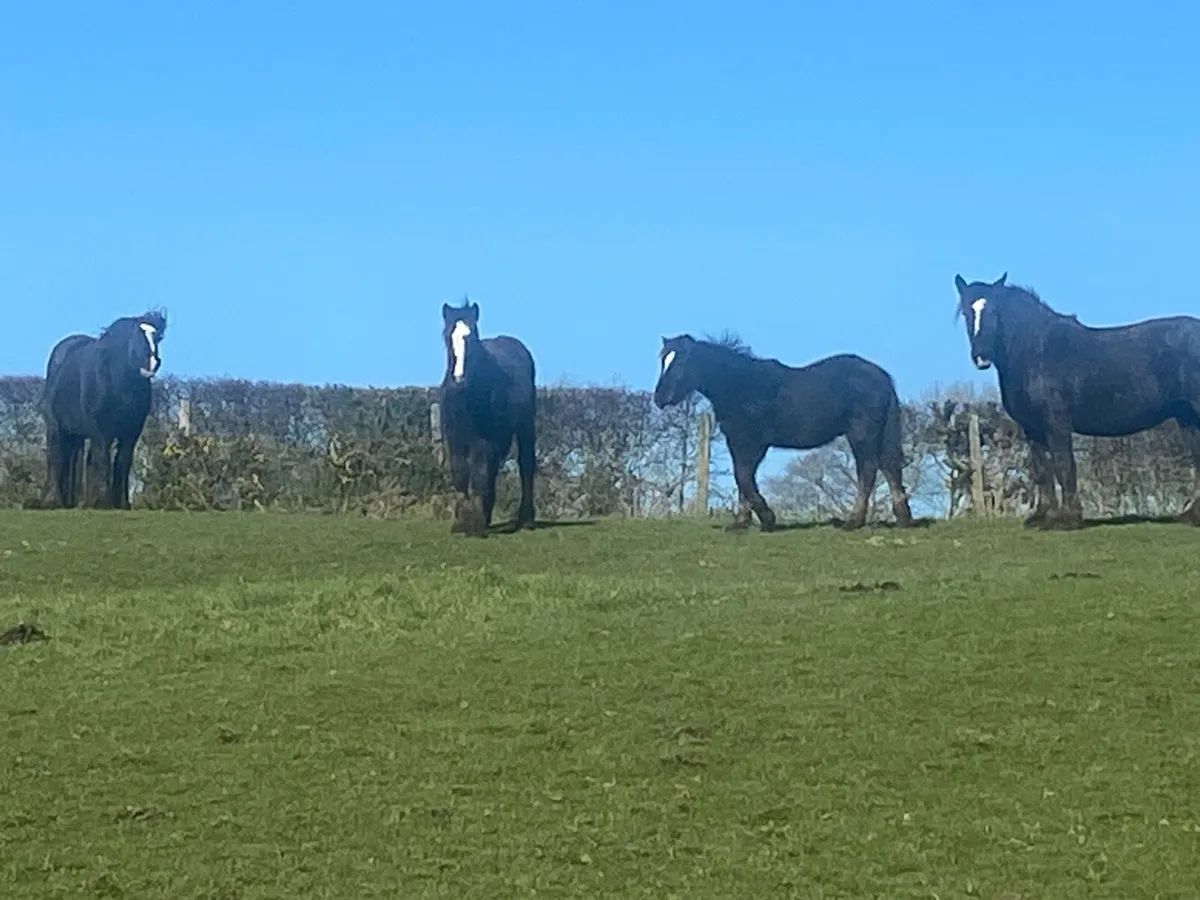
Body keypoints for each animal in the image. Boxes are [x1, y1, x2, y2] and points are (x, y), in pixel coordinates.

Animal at [39, 310, 166, 510]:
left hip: (77, 434)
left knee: (77, 461)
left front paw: (122, 503)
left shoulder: (131, 432)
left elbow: (122, 462)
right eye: (137, 335)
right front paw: (104, 502)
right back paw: (55, 501)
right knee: (57, 458)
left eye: (158, 337)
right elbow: (103, 460)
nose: (152, 363)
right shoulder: (101, 431)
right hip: (56, 428)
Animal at [439, 300, 536, 536]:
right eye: (447, 336)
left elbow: (479, 475)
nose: (459, 379)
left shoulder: (483, 442)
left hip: (525, 426)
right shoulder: (454, 441)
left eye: (472, 336)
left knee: (526, 466)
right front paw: (462, 523)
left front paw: (474, 525)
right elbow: (461, 476)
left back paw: (526, 519)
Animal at [653, 334, 914, 531]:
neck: (740, 385)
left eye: (681, 362)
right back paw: (902, 517)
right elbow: (743, 478)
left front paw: (767, 518)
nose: (660, 399)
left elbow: (743, 477)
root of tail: (882, 377)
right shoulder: (737, 442)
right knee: (889, 468)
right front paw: (741, 522)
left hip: (861, 434)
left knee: (868, 470)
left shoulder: (751, 443)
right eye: (663, 360)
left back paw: (854, 521)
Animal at [955, 272, 1200, 529]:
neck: (1035, 353)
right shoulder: (1032, 429)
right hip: (1186, 418)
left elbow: (1064, 465)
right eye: (966, 312)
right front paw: (1041, 516)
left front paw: (1067, 519)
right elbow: (1042, 470)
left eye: (995, 310)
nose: (981, 356)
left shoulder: (1056, 425)